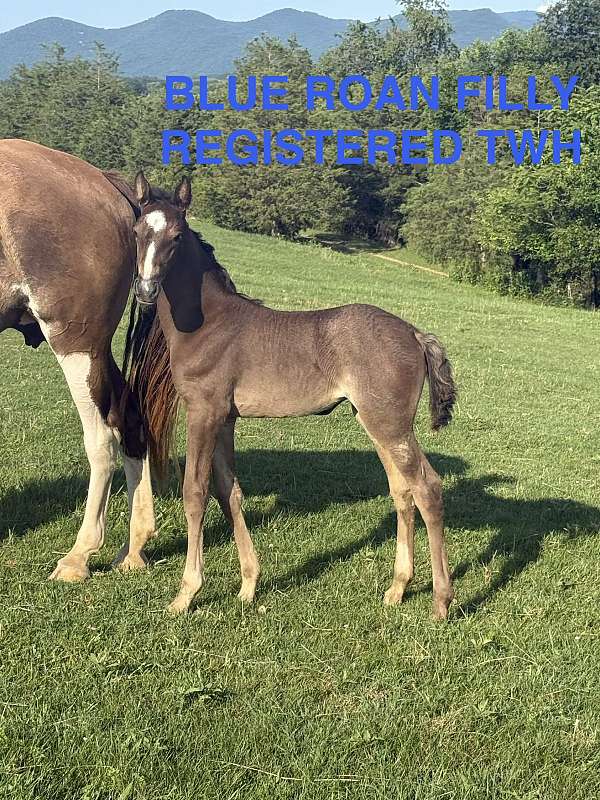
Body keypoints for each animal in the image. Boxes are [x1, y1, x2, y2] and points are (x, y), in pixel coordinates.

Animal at [0, 139, 156, 580]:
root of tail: (103, 181)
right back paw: (134, 549)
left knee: (101, 438)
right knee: (129, 418)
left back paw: (79, 555)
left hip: (77, 344)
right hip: (96, 351)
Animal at [126, 171, 458, 619]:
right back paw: (397, 588)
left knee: (427, 488)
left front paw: (186, 593)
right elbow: (229, 491)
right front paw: (249, 585)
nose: (145, 289)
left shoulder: (203, 412)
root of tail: (414, 333)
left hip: (390, 424)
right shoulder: (225, 419)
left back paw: (442, 600)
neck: (208, 323)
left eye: (177, 236)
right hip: (376, 422)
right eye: (138, 231)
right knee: (402, 492)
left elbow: (194, 492)